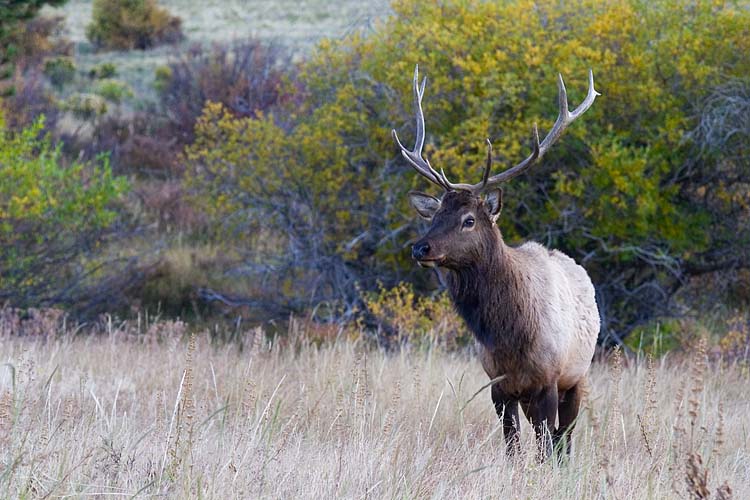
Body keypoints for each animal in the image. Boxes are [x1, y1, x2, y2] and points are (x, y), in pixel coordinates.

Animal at [392, 66, 600, 461]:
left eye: (469, 220)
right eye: (434, 215)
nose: (420, 248)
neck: (508, 334)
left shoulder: (548, 381)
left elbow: (545, 449)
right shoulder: (498, 385)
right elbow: (513, 448)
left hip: (578, 376)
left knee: (564, 440)